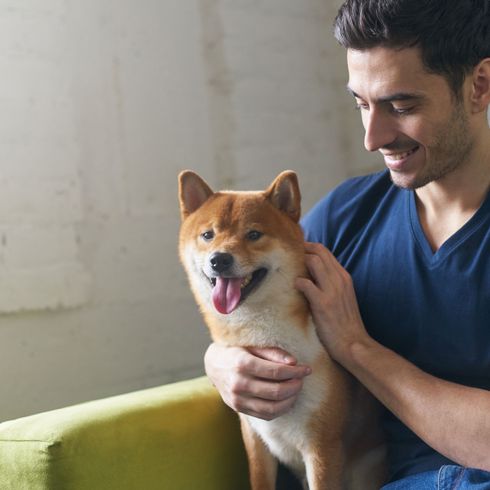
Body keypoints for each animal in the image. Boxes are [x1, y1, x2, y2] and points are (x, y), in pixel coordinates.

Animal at [178, 170, 384, 488]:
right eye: (208, 235)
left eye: (253, 234)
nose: (219, 259)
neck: (263, 335)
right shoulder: (255, 438)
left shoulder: (322, 445)